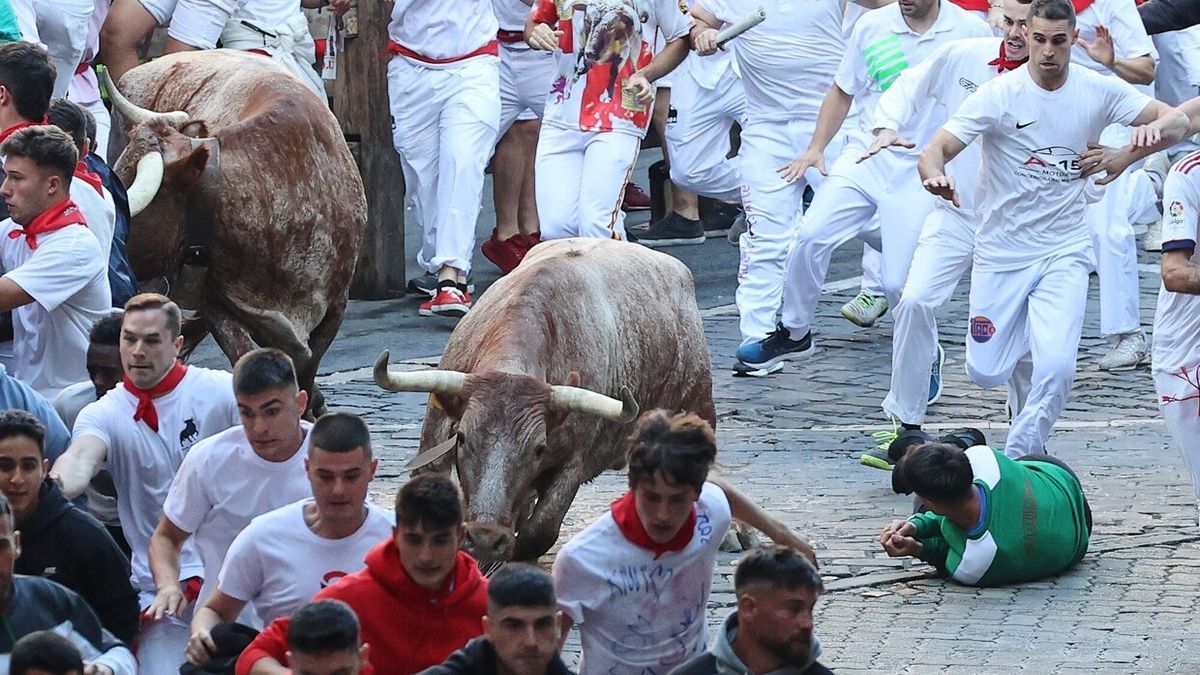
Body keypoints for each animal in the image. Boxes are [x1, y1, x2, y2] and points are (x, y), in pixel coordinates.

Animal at [374, 236, 710, 557]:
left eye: (539, 448)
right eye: (462, 438)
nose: (485, 538)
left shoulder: (573, 464)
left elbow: (539, 532)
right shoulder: (433, 443)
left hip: (697, 402)